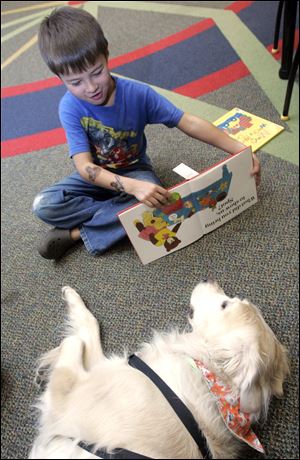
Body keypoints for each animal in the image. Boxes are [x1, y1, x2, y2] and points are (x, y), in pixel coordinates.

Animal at [29, 278, 290, 458]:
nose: (209, 279)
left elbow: (75, 341)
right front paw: (73, 297)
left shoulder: (68, 399)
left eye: (224, 305)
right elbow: (90, 326)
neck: (205, 372)